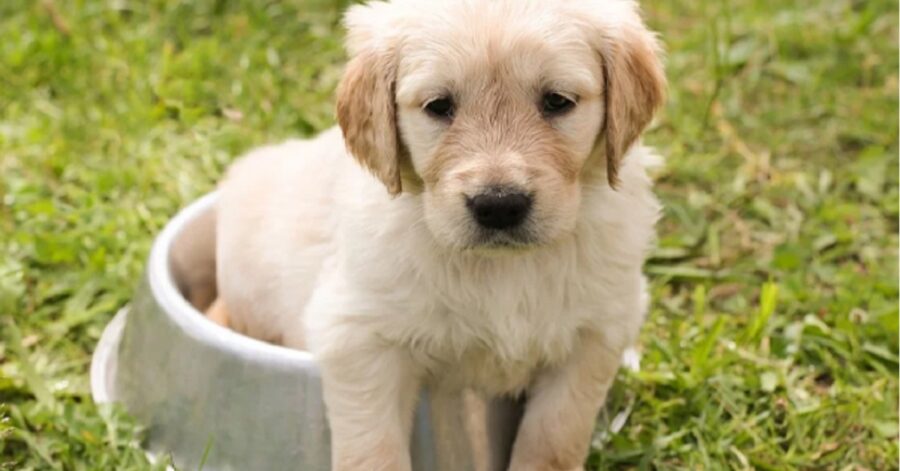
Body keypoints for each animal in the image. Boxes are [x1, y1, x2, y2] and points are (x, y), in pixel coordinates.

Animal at [211, 0, 664, 471]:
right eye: (439, 105)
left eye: (557, 101)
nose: (498, 205)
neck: (503, 268)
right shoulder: (358, 337)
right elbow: (373, 451)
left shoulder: (596, 333)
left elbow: (555, 437)